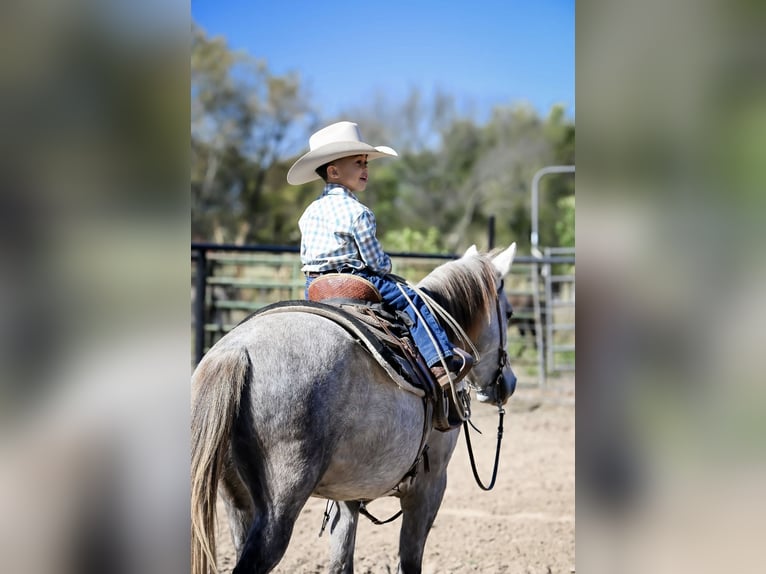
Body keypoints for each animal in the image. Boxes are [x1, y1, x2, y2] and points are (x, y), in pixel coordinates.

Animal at [191, 243, 518, 574]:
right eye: (510, 313)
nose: (510, 383)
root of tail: (236, 352)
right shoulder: (430, 485)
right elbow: (409, 561)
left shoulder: (347, 494)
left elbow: (340, 561)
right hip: (279, 506)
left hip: (236, 501)